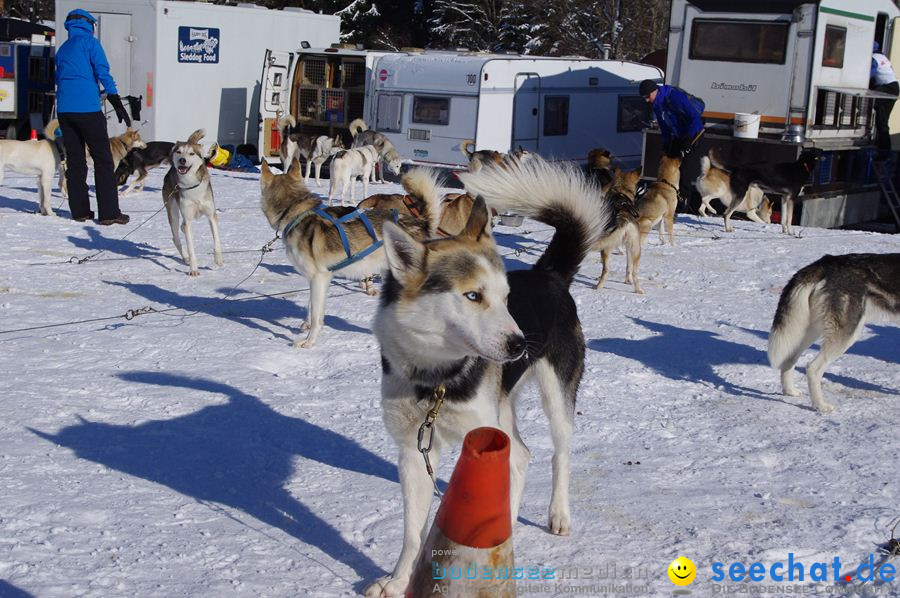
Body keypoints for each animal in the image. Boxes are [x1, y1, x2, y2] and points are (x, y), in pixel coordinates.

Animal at [160, 130, 221, 278]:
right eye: (179, 152)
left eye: (191, 154)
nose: (182, 160)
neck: (191, 185)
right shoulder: (187, 219)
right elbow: (191, 247)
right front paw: (193, 269)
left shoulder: (211, 215)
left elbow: (217, 240)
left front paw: (219, 259)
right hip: (173, 213)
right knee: (177, 237)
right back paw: (186, 257)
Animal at [362, 157, 608, 596]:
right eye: (473, 296)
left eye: (506, 297)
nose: (519, 344)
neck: (438, 379)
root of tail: (547, 274)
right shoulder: (413, 450)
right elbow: (412, 532)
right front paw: (398, 580)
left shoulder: (480, 434)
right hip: (503, 406)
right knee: (522, 455)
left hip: (556, 398)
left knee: (559, 455)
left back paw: (558, 514)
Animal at [768, 253, 900, 412]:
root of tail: (828, 261)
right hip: (846, 334)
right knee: (813, 368)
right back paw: (820, 405)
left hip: (809, 330)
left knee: (790, 358)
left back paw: (790, 391)